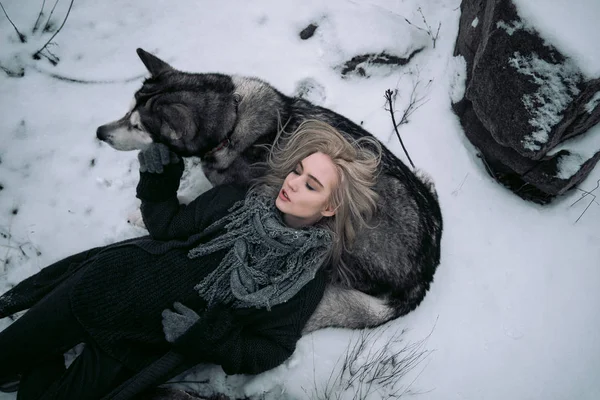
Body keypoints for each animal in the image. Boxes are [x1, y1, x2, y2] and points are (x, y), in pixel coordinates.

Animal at [97, 48, 440, 332]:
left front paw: (141, 215)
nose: (100, 132)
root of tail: (424, 275)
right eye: (126, 111)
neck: (232, 122)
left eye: (138, 127)